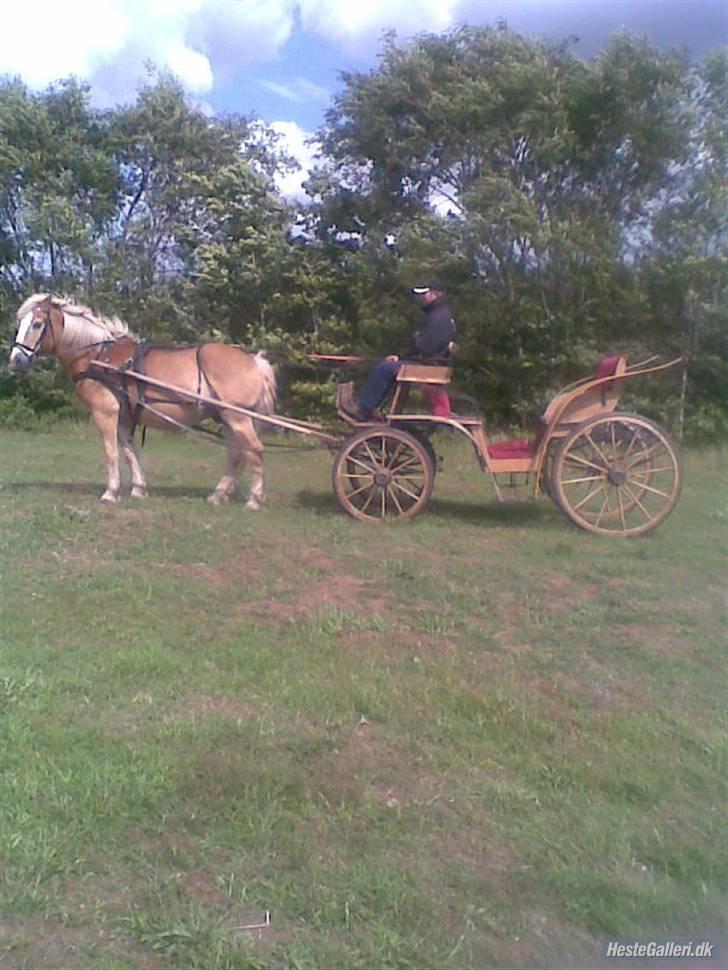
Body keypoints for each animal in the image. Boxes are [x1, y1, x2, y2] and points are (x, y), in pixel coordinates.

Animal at [7, 294, 278, 506]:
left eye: (37, 324)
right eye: (20, 323)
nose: (15, 361)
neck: (99, 356)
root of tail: (254, 360)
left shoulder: (105, 412)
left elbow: (111, 452)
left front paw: (110, 492)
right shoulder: (124, 417)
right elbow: (129, 451)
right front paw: (138, 488)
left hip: (237, 416)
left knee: (255, 449)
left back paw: (254, 499)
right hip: (228, 418)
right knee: (235, 453)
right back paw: (218, 494)